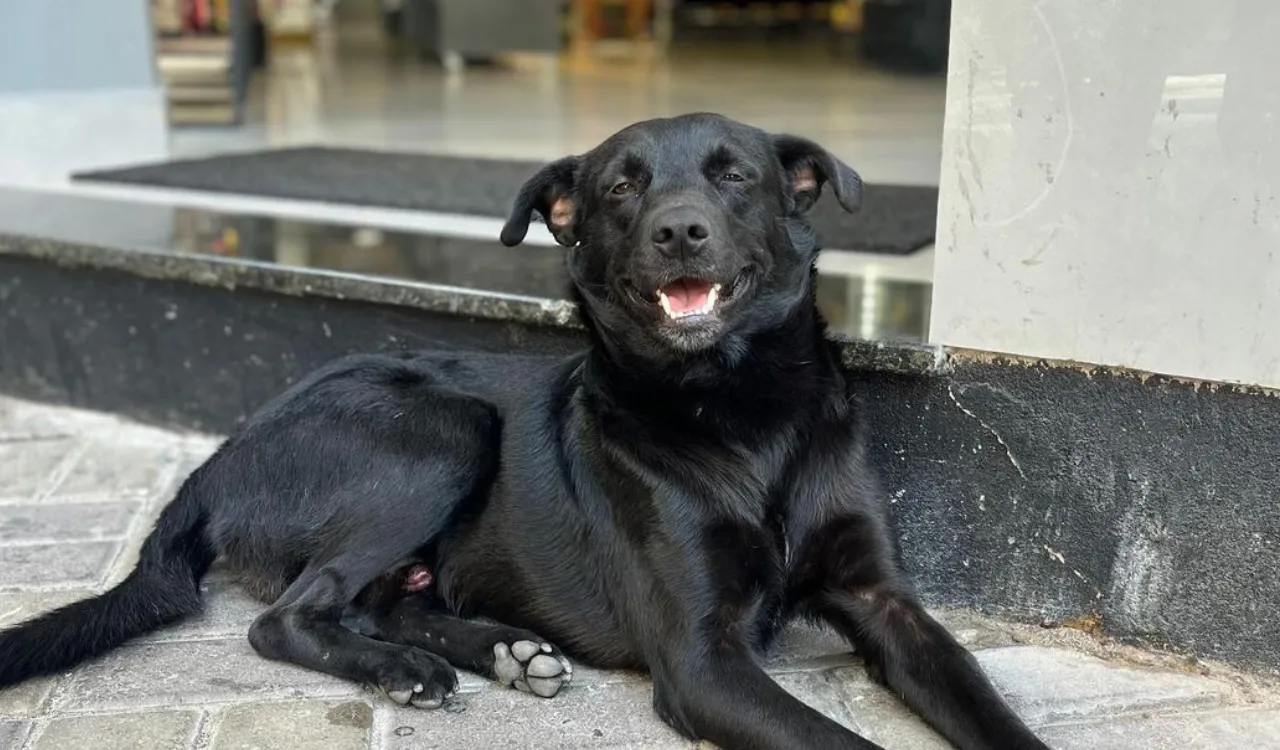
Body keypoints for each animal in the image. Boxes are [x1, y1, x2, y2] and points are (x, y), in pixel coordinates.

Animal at [0, 112, 1049, 747]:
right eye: (620, 188)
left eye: (735, 176)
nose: (678, 230)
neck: (741, 413)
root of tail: (220, 456)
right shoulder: (701, 661)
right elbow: (837, 740)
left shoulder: (884, 602)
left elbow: (980, 696)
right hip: (441, 429)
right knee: (288, 615)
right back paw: (407, 667)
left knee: (374, 600)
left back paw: (495, 649)